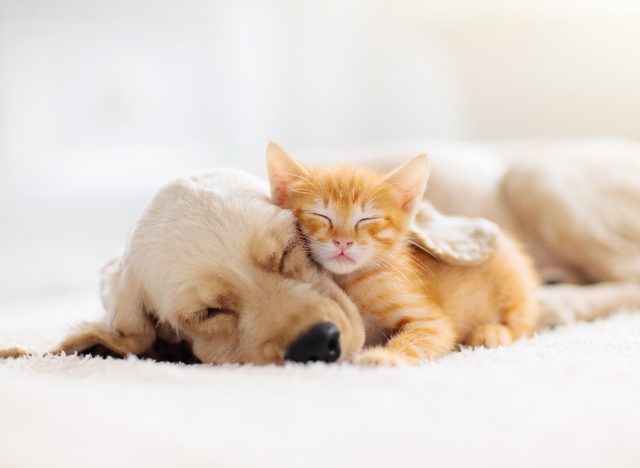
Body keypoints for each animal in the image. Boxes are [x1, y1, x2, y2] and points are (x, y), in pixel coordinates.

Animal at [264, 143, 540, 366]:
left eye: (367, 219)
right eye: (320, 215)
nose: (343, 241)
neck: (350, 281)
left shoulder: (430, 320)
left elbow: (420, 338)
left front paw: (385, 356)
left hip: (511, 277)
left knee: (524, 321)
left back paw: (493, 331)